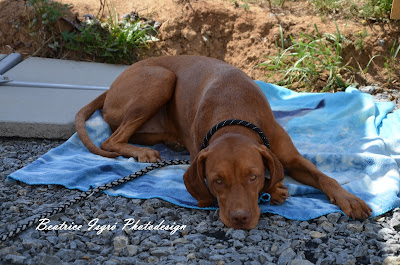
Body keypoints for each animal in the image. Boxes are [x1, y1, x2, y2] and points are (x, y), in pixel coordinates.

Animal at [76, 54, 372, 228]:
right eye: (217, 181)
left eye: (253, 176)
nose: (240, 219)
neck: (233, 116)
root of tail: (110, 88)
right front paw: (276, 189)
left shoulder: (291, 158)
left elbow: (325, 177)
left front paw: (350, 199)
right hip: (161, 78)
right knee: (110, 140)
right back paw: (143, 152)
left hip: (161, 83)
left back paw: (169, 141)